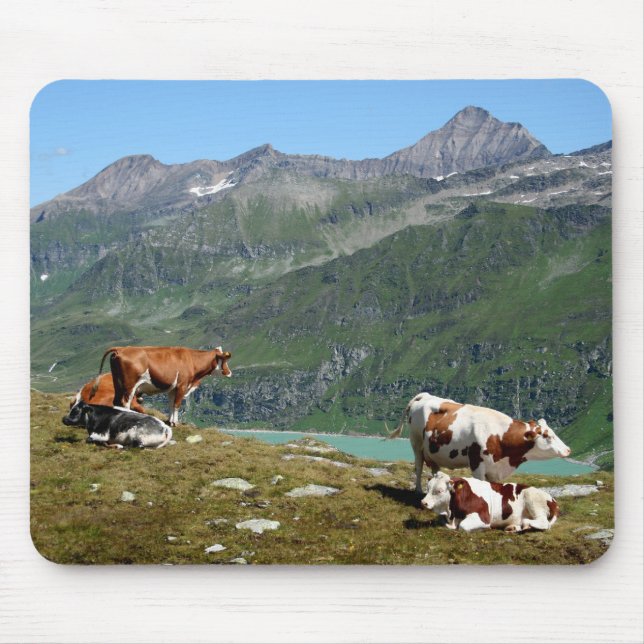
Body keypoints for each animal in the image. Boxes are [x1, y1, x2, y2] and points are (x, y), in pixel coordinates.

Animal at [93, 345, 232, 426]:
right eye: (224, 360)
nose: (230, 373)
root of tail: (122, 348)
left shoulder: (173, 388)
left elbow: (170, 404)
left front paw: (170, 421)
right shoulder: (182, 385)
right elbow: (177, 404)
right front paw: (175, 422)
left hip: (117, 383)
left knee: (116, 401)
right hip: (129, 385)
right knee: (125, 402)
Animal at [389, 392, 571, 491]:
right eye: (547, 436)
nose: (568, 449)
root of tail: (425, 395)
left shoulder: (495, 470)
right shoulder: (477, 463)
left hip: (433, 450)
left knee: (435, 469)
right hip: (416, 443)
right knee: (419, 467)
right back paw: (419, 490)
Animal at [420, 471, 560, 532]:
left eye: (439, 490)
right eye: (428, 487)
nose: (423, 502)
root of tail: (553, 499)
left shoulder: (483, 516)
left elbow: (463, 526)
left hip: (533, 499)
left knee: (543, 522)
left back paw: (525, 524)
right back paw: (513, 527)